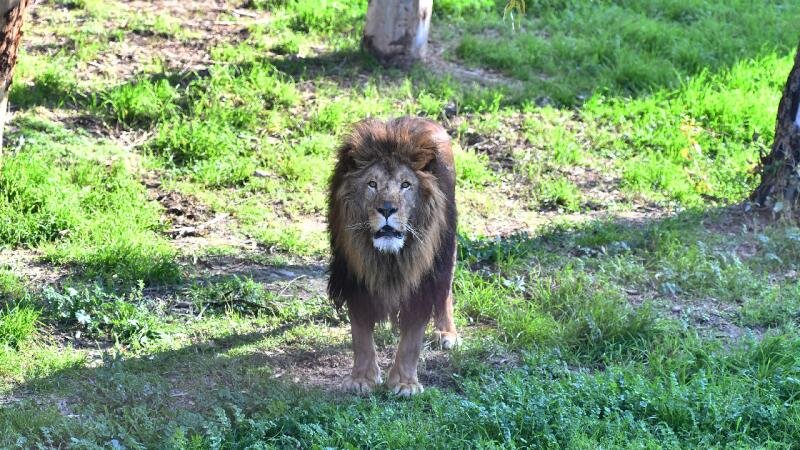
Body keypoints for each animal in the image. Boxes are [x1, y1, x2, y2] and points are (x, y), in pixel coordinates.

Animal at [328, 117, 460, 398]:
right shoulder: (355, 276)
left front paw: (404, 383)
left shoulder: (423, 281)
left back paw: (447, 332)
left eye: (405, 184)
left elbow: (412, 339)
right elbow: (360, 336)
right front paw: (362, 379)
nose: (387, 209)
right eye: (372, 184)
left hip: (447, 245)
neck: (389, 258)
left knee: (446, 288)